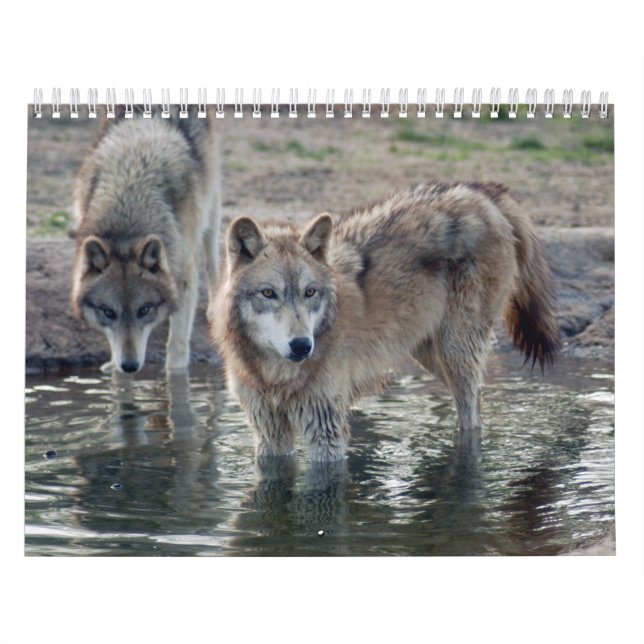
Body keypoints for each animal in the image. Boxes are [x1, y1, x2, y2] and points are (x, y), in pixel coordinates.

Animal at [71, 107, 221, 374]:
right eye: (108, 312)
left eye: (144, 310)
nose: (130, 366)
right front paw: (113, 366)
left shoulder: (184, 274)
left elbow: (177, 349)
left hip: (210, 205)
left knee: (213, 257)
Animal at [211, 181, 559, 462]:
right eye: (269, 293)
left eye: (309, 292)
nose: (301, 346)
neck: (274, 376)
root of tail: (483, 193)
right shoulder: (269, 432)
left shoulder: (326, 428)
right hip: (431, 356)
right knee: (479, 406)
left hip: (455, 352)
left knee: (471, 416)